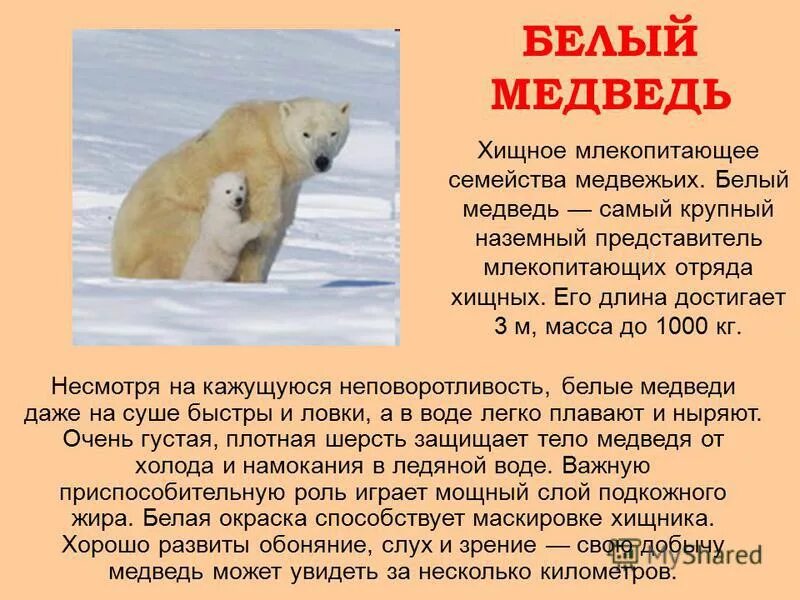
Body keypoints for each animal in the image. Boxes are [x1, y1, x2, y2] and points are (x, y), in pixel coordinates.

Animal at [111, 97, 351, 282]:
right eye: (305, 134)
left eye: (333, 133)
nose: (322, 160)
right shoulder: (258, 165)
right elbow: (262, 227)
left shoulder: (287, 187)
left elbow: (281, 225)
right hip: (167, 227)